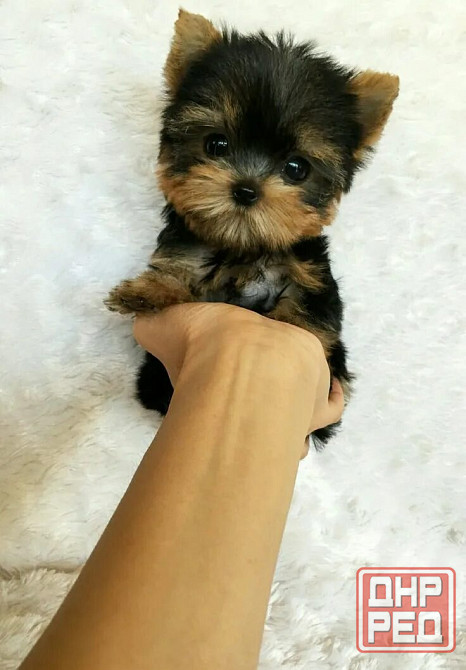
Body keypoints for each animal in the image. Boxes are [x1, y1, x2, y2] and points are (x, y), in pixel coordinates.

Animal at [106, 9, 399, 447]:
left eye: (296, 168)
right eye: (216, 145)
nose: (246, 189)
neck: (244, 245)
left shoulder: (313, 282)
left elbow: (311, 320)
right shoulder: (186, 254)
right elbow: (175, 273)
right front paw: (147, 291)